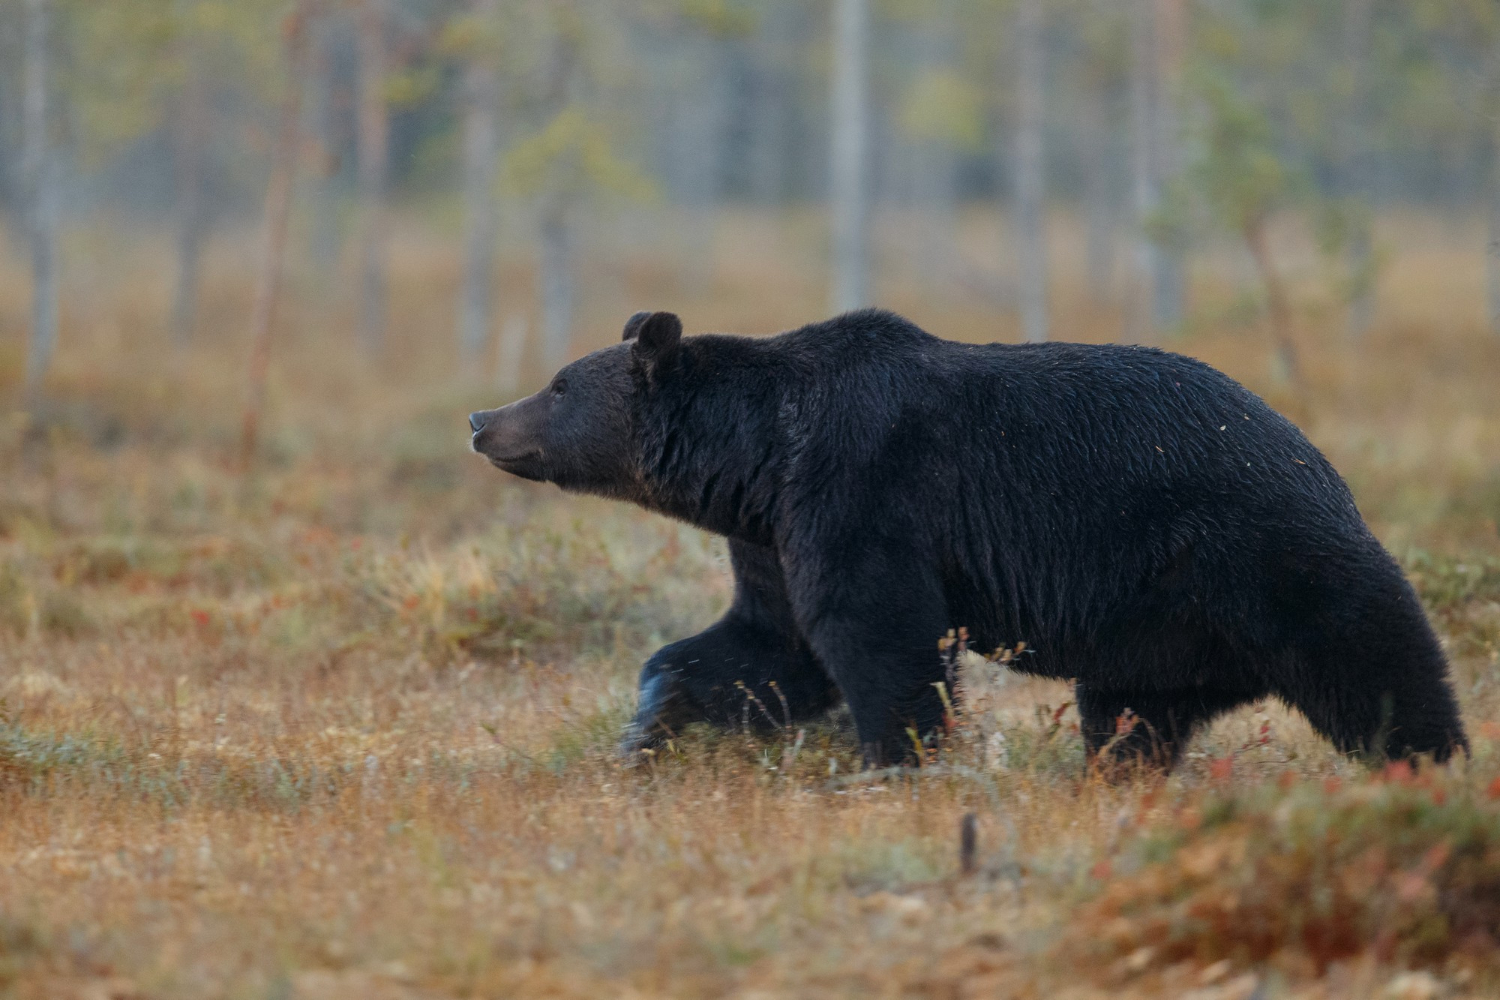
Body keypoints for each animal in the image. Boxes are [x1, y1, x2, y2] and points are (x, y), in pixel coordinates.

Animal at [468, 308, 1468, 768]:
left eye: (558, 383)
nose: (481, 417)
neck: (759, 455)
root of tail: (1320, 458)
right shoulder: (774, 531)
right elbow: (767, 646)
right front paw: (647, 726)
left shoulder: (864, 487)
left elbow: (879, 637)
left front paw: (894, 763)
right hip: (1155, 632)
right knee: (1131, 717)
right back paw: (1114, 776)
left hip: (1255, 549)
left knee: (1374, 657)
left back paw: (1432, 763)